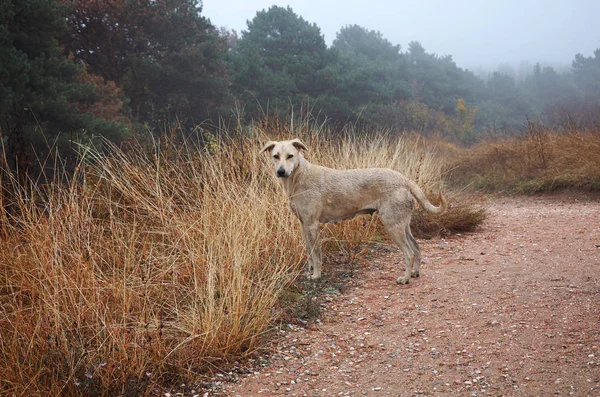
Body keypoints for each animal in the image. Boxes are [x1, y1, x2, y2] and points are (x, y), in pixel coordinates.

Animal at [260, 138, 448, 284]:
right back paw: (415, 273)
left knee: (409, 253)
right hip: (403, 224)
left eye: (290, 156)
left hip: (393, 226)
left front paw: (317, 275)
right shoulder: (303, 225)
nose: (281, 171)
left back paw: (405, 278)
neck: (299, 176)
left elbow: (317, 254)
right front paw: (309, 272)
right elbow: (309, 252)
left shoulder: (312, 225)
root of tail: (404, 179)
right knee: (416, 248)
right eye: (275, 156)